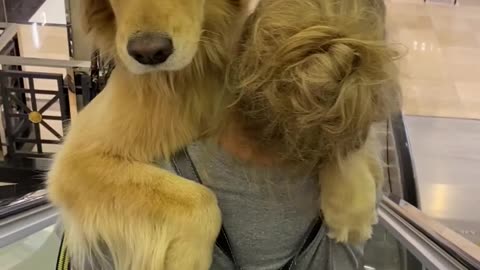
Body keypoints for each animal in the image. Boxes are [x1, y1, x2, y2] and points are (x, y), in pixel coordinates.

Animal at [47, 0, 398, 268]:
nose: (149, 52)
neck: (195, 71)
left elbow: (349, 131)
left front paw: (353, 208)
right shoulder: (76, 158)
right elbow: (200, 199)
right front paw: (185, 260)